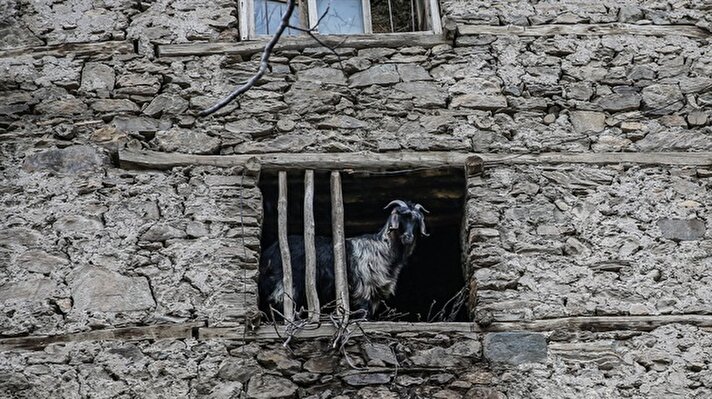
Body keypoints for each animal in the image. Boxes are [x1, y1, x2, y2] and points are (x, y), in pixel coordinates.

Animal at [260, 202, 432, 320]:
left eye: (417, 221)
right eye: (402, 217)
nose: (408, 237)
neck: (382, 246)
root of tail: (271, 250)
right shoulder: (365, 284)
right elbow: (363, 309)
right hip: (288, 279)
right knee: (280, 299)